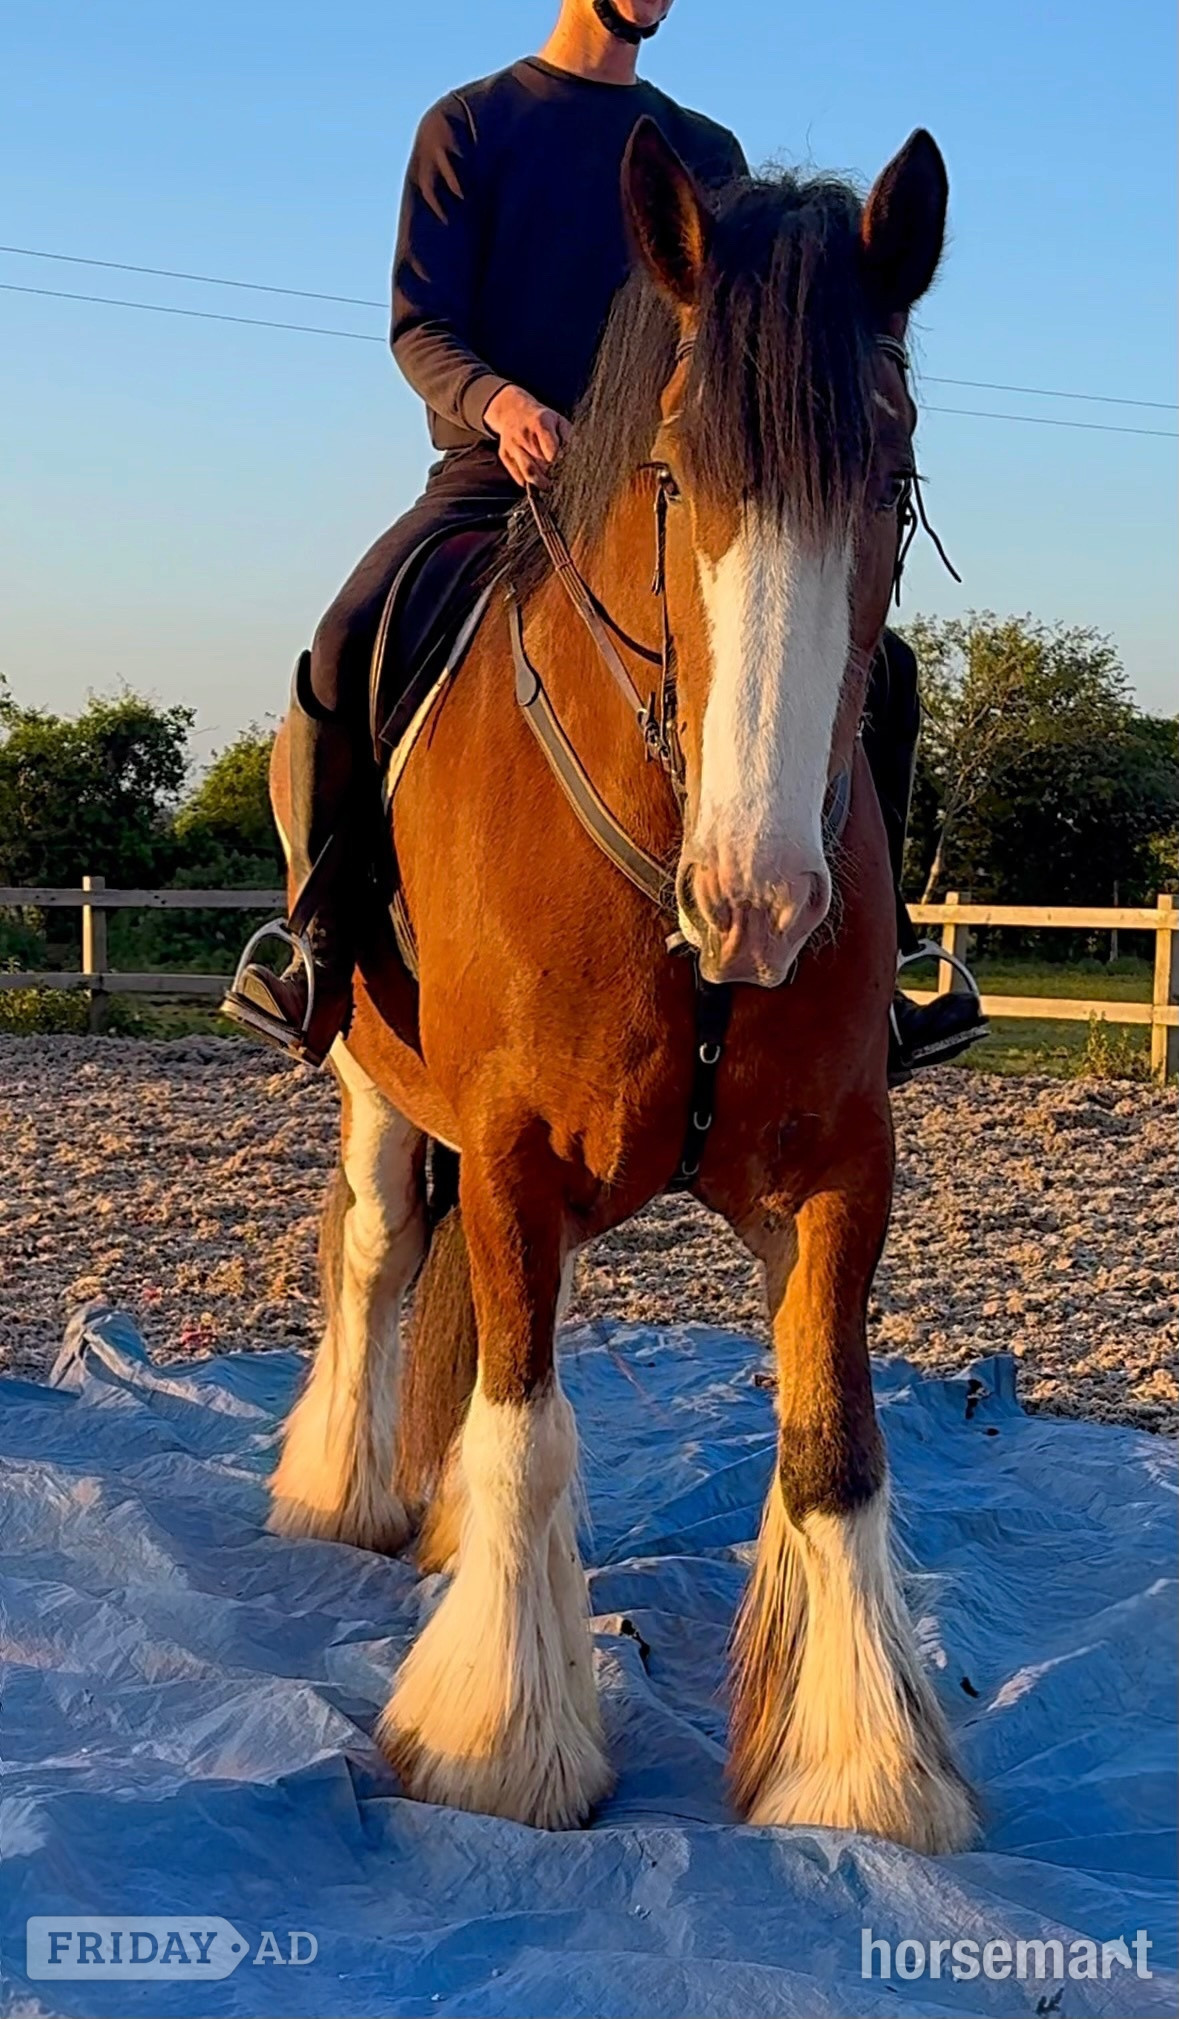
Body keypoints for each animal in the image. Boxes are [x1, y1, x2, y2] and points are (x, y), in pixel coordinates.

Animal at [263, 118, 977, 1854]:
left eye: (888, 477)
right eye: (667, 475)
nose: (757, 902)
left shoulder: (837, 1169)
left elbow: (831, 1440)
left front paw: (857, 1764)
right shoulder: (512, 1153)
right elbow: (523, 1424)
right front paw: (497, 1742)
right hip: (373, 1082)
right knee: (376, 1250)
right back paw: (346, 1489)